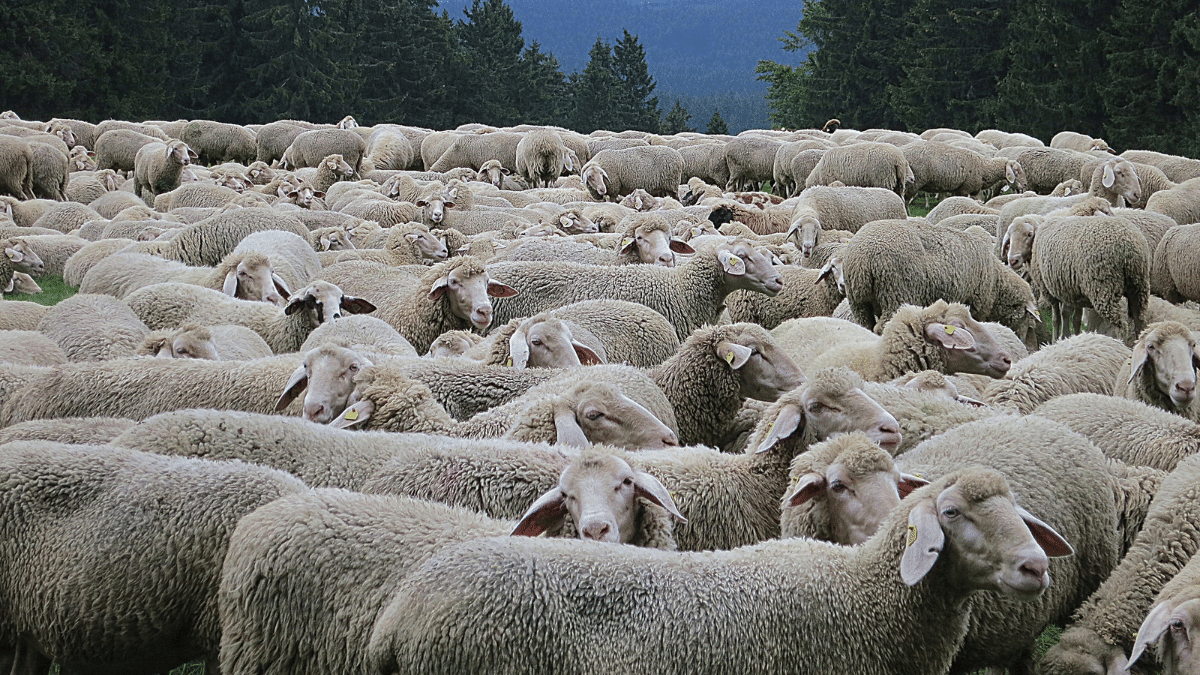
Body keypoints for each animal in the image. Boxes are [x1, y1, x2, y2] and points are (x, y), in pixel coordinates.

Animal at [843, 219, 1039, 341]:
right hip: (895, 293)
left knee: (865, 324)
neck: (996, 282)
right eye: (1025, 317)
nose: (1022, 339)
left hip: (858, 301)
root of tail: (862, 259)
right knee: (882, 327)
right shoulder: (975, 304)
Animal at [1005, 212, 1150, 343]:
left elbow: (1058, 318)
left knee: (1121, 325)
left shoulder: (1054, 290)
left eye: (1029, 234)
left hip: (1105, 287)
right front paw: (1074, 336)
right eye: (1010, 236)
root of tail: (1129, 248)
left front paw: (1058, 338)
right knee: (1139, 321)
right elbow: (1076, 319)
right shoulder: (1075, 291)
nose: (1012, 260)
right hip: (1138, 286)